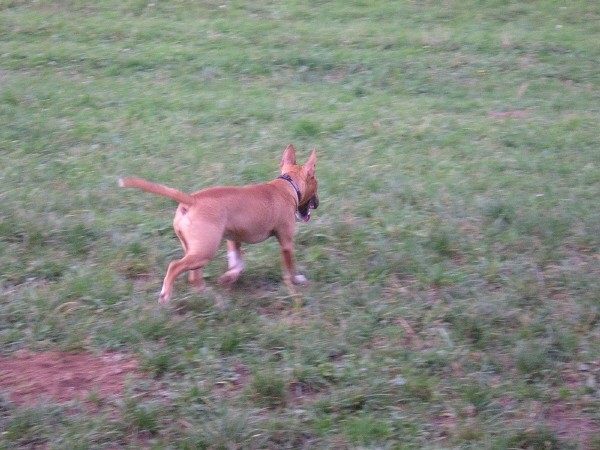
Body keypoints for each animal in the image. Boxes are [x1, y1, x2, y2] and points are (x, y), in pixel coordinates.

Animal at [119, 146, 322, 304]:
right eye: (316, 182)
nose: (318, 203)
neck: (287, 186)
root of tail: (192, 200)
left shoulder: (233, 239)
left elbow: (237, 263)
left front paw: (229, 278)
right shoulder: (286, 243)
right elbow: (290, 269)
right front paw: (296, 283)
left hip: (196, 249)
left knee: (194, 276)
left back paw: (208, 296)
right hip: (204, 251)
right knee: (175, 266)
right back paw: (166, 295)